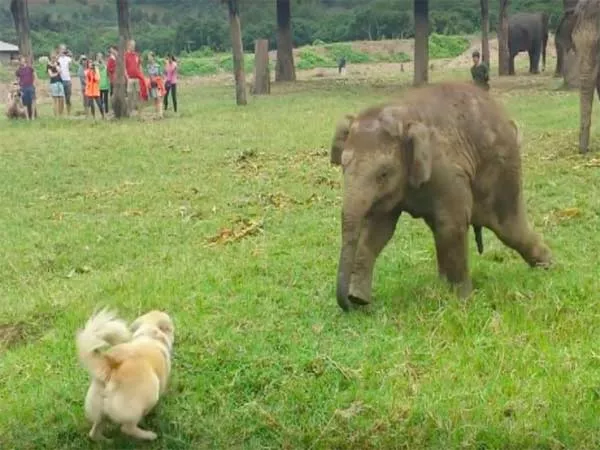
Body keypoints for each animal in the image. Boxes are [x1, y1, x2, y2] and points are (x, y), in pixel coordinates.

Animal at [76, 308, 175, 442]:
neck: (149, 334)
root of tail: (112, 367)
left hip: (98, 407)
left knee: (94, 432)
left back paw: (107, 441)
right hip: (149, 395)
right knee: (127, 428)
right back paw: (149, 435)